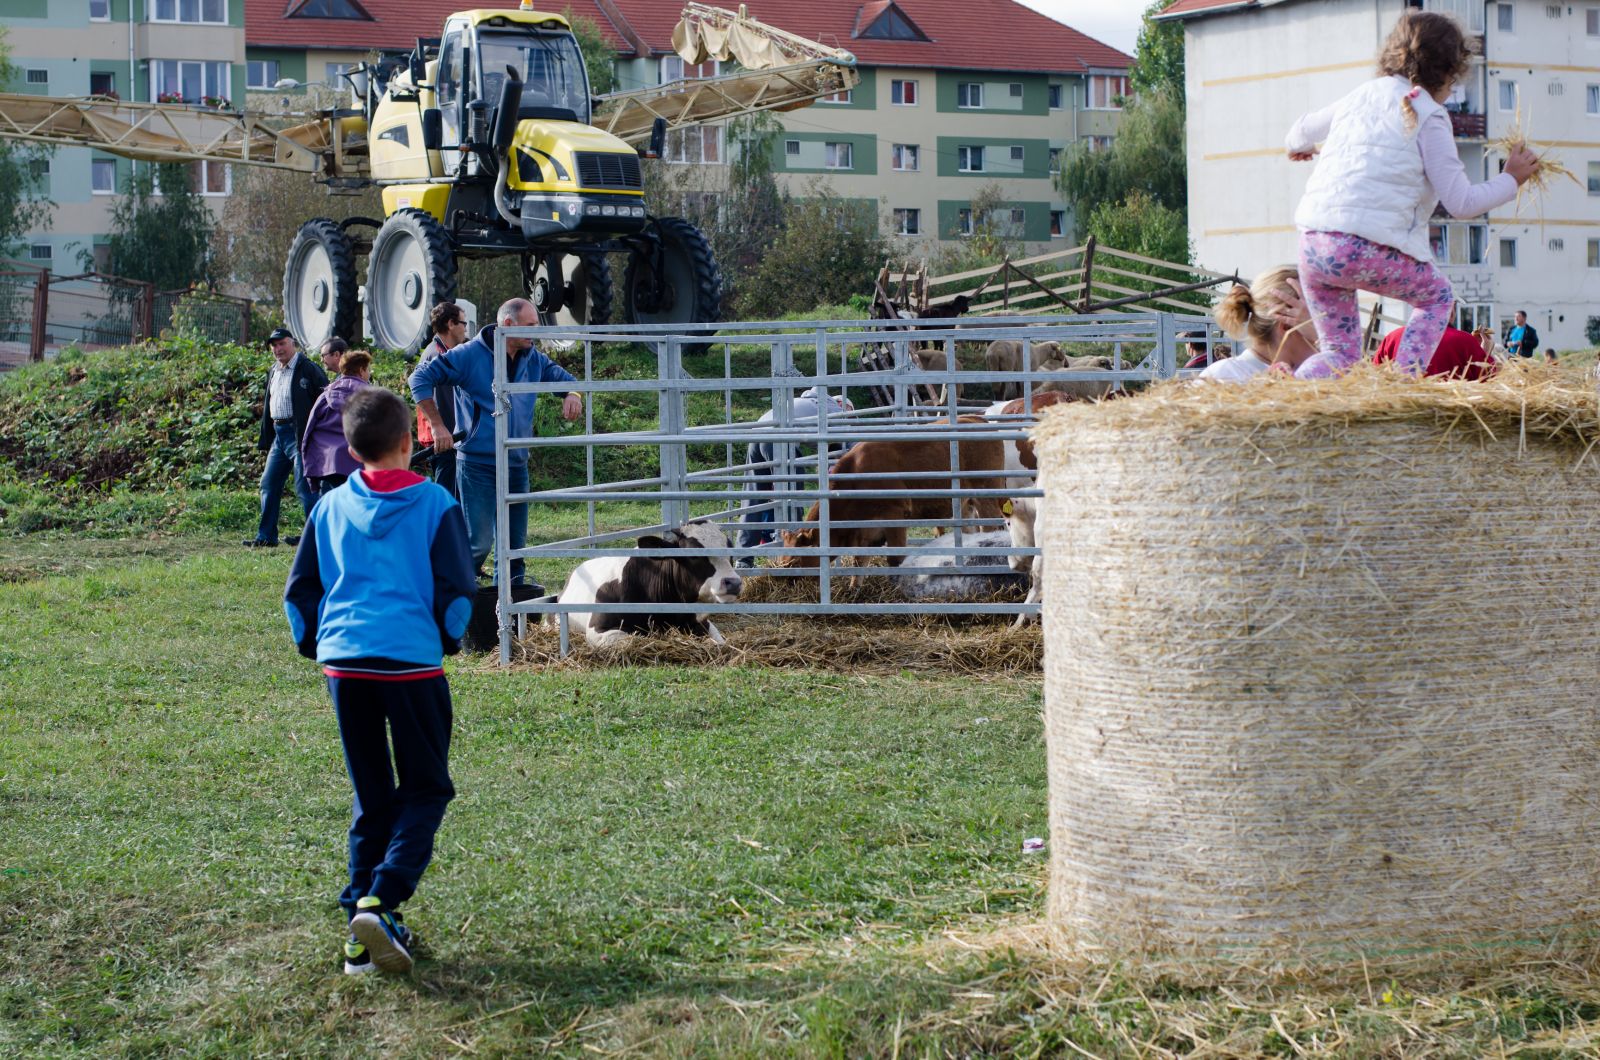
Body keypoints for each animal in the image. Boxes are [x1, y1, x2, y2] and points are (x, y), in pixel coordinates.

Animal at [556, 521, 742, 646]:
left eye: (731, 550)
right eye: (693, 554)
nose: (733, 582)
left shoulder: (700, 623)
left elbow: (719, 641)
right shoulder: (598, 631)